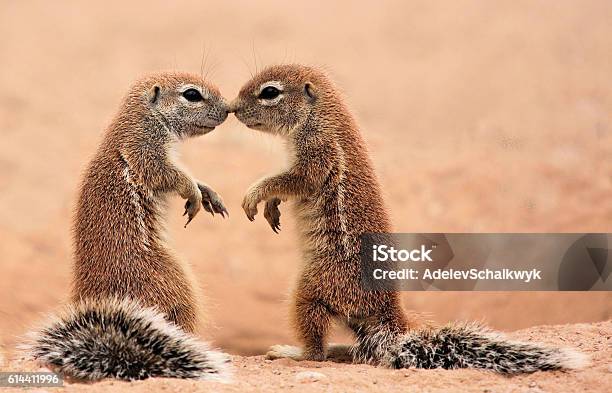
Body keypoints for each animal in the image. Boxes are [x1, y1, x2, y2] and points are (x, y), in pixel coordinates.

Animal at [22, 71, 230, 380]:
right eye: (192, 94)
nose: (229, 109)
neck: (140, 118)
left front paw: (208, 194)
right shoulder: (144, 150)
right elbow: (172, 176)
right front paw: (193, 192)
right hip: (178, 280)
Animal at [232, 65, 584, 374]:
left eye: (270, 92)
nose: (233, 108)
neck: (318, 115)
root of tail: (389, 314)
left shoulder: (318, 152)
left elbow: (293, 179)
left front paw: (255, 195)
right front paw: (270, 206)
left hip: (310, 289)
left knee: (316, 349)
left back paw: (292, 352)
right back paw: (341, 350)